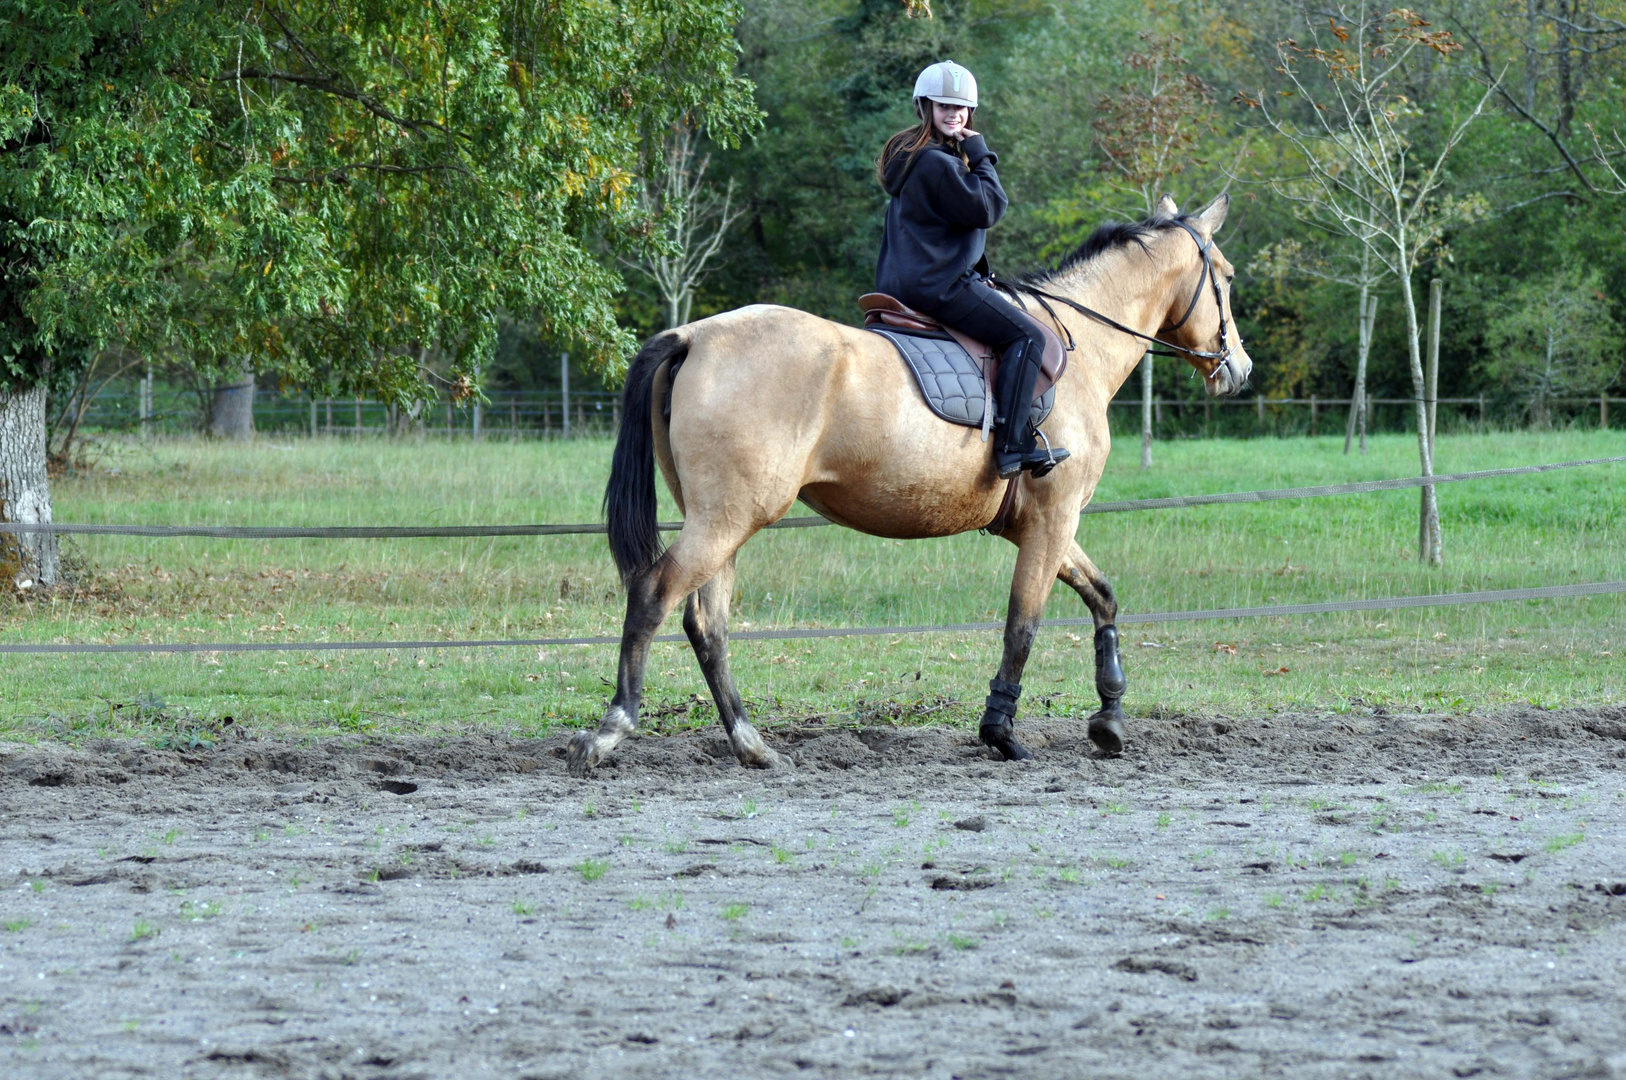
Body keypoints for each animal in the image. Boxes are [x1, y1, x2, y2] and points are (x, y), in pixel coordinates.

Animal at [572, 189, 1255, 770]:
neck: (1078, 345)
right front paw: (1001, 734)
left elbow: (1102, 596)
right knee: (653, 594)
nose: (1239, 369)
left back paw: (751, 744)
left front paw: (1109, 718)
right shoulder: (1052, 520)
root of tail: (692, 335)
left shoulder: (1045, 526)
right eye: (1224, 276)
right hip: (727, 519)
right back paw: (612, 731)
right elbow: (1022, 625)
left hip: (726, 522)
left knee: (706, 624)